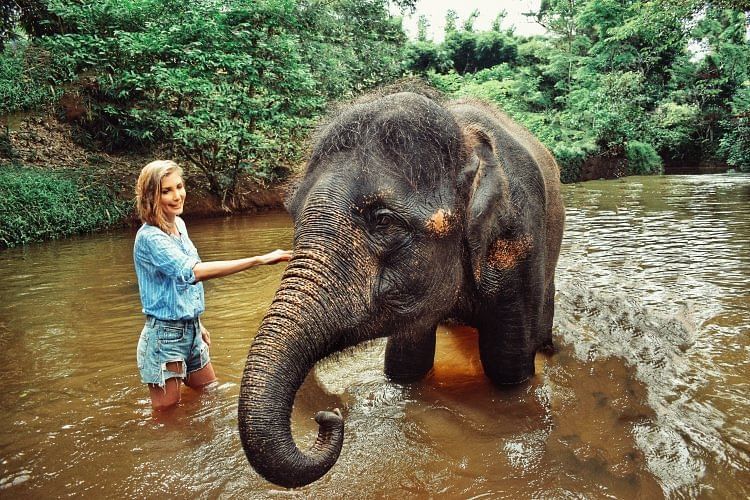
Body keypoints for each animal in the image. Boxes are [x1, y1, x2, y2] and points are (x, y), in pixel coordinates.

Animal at [238, 87, 565, 488]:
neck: (463, 138)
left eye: (383, 220)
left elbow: (507, 367)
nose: (327, 418)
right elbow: (404, 363)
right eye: (292, 213)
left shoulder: (520, 249)